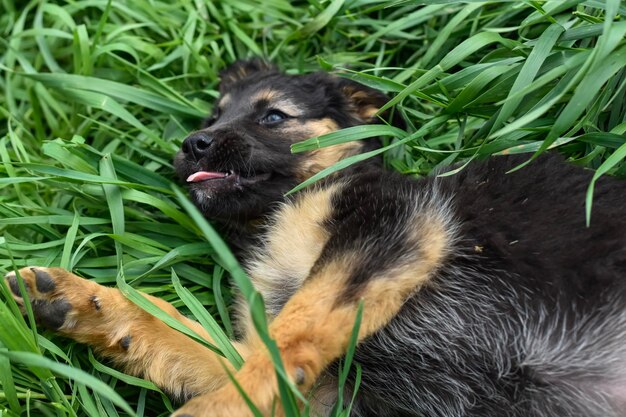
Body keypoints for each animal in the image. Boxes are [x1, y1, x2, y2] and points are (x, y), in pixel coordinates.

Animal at [4, 59, 624, 416]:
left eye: (274, 117)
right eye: (213, 116)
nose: (192, 145)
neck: (281, 213)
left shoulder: (387, 229)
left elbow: (287, 337)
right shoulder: (321, 387)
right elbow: (201, 344)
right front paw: (92, 305)